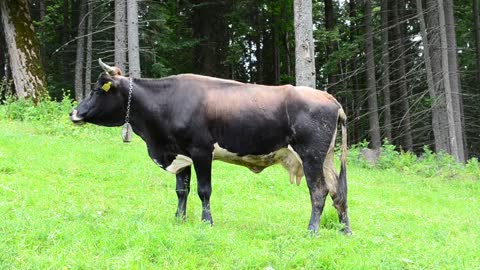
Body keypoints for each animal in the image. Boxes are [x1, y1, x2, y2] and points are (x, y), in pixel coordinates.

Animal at [69, 59, 350, 234]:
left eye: (98, 90)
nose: (74, 113)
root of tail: (329, 98)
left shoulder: (201, 151)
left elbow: (204, 190)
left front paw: (207, 222)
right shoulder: (180, 153)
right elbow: (181, 190)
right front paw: (179, 219)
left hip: (311, 155)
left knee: (319, 191)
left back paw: (312, 230)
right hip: (326, 158)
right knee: (338, 191)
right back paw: (344, 230)